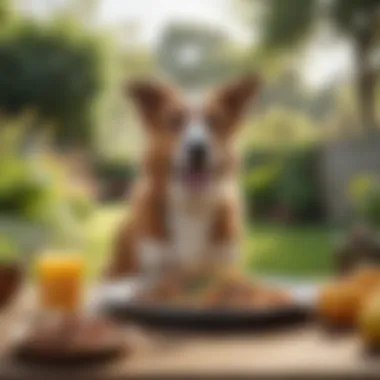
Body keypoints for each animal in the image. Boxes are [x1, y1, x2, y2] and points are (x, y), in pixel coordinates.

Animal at [106, 75, 262, 278]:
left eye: (214, 121)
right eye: (175, 120)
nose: (198, 150)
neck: (191, 205)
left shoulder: (222, 263)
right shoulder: (154, 266)